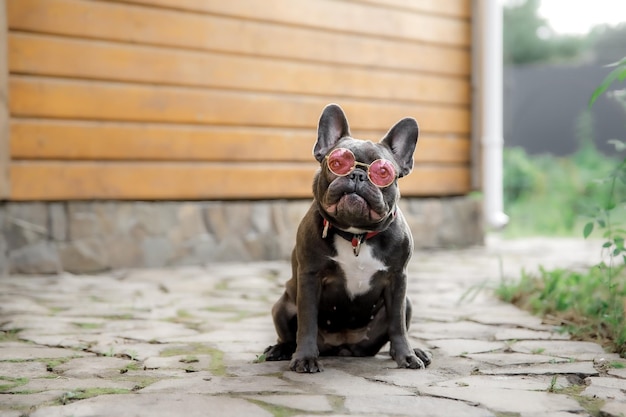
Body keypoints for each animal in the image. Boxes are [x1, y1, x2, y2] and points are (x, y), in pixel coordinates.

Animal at [262, 103, 428, 370]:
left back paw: (418, 352)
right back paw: (280, 350)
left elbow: (398, 326)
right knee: (287, 334)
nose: (358, 175)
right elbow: (307, 322)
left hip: (406, 305)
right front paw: (305, 358)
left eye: (383, 172)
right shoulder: (310, 277)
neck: (356, 235)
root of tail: (343, 347)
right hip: (282, 305)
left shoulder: (397, 280)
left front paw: (407, 356)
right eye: (338, 163)